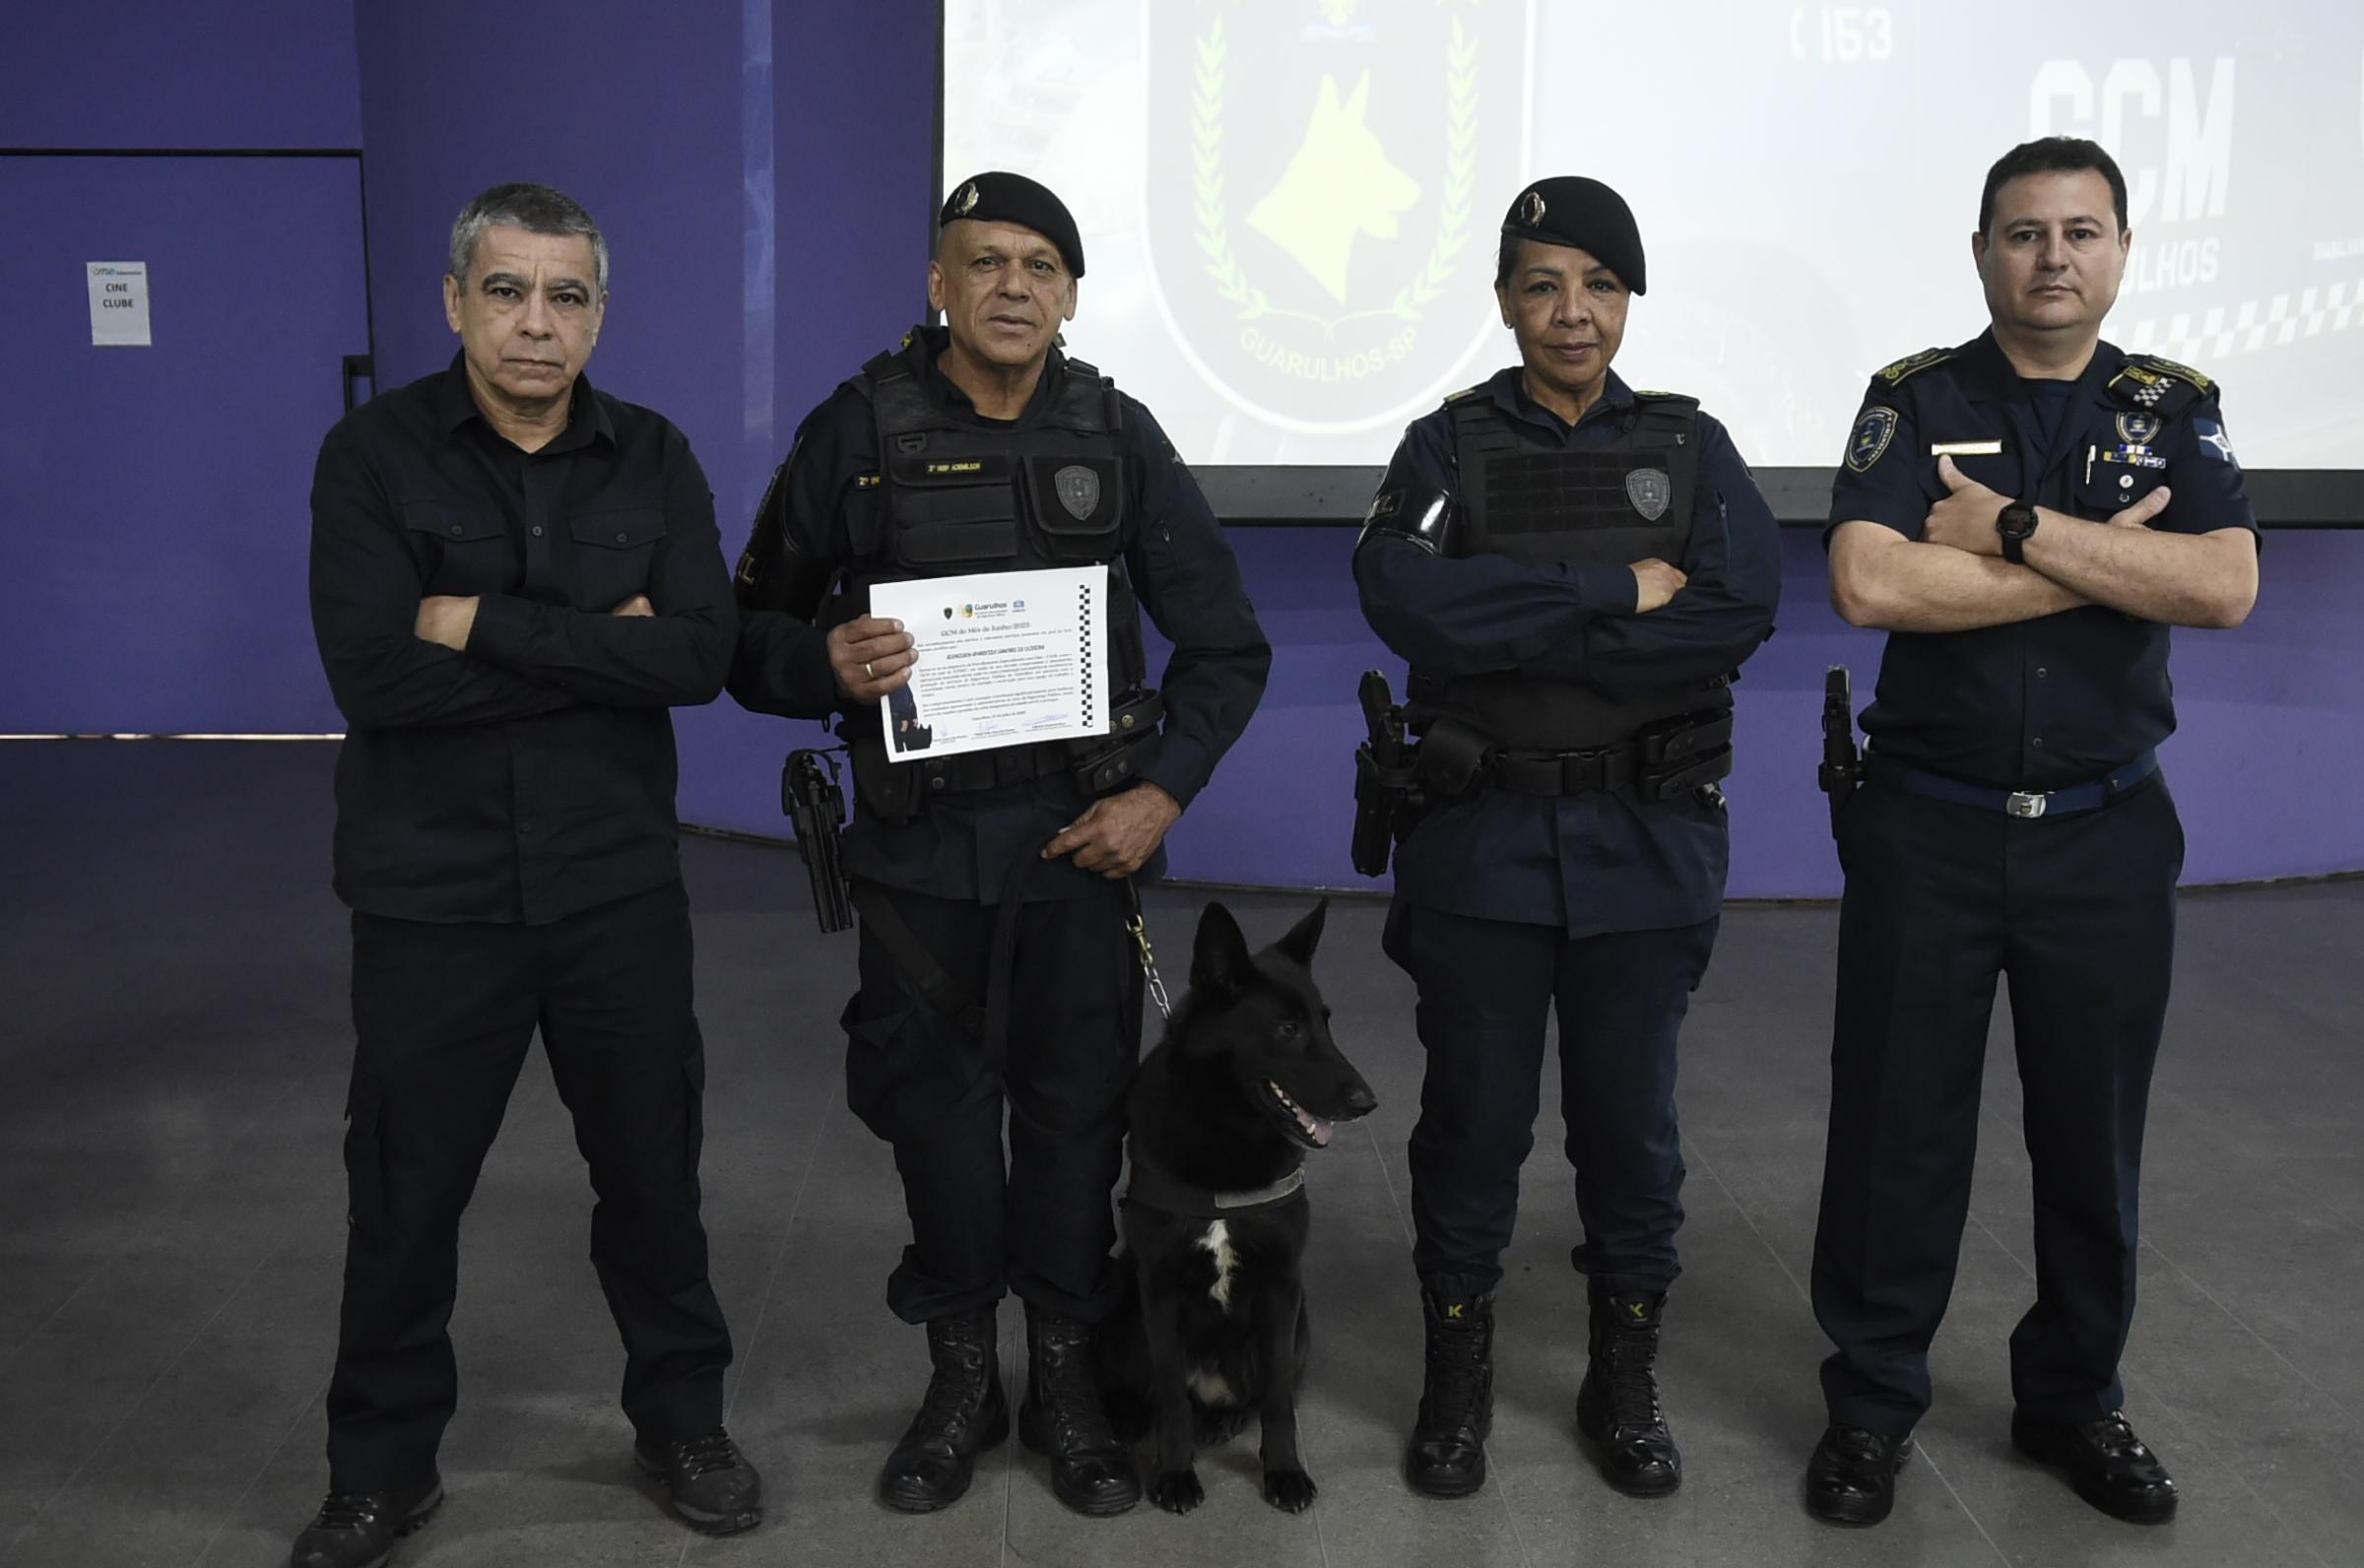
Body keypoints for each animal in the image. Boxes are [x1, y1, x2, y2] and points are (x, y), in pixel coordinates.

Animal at [1098, 899, 1377, 1514]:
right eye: (1289, 1029)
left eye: (1326, 1021)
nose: (1367, 1103)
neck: (1227, 1134)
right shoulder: (1159, 1290)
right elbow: (1170, 1398)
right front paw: (1175, 1472)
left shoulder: (1280, 1288)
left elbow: (1278, 1402)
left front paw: (1284, 1472)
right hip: (1126, 1298)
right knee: (1158, 1392)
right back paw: (1132, 1418)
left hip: (1299, 1322)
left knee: (1255, 1395)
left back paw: (1225, 1420)